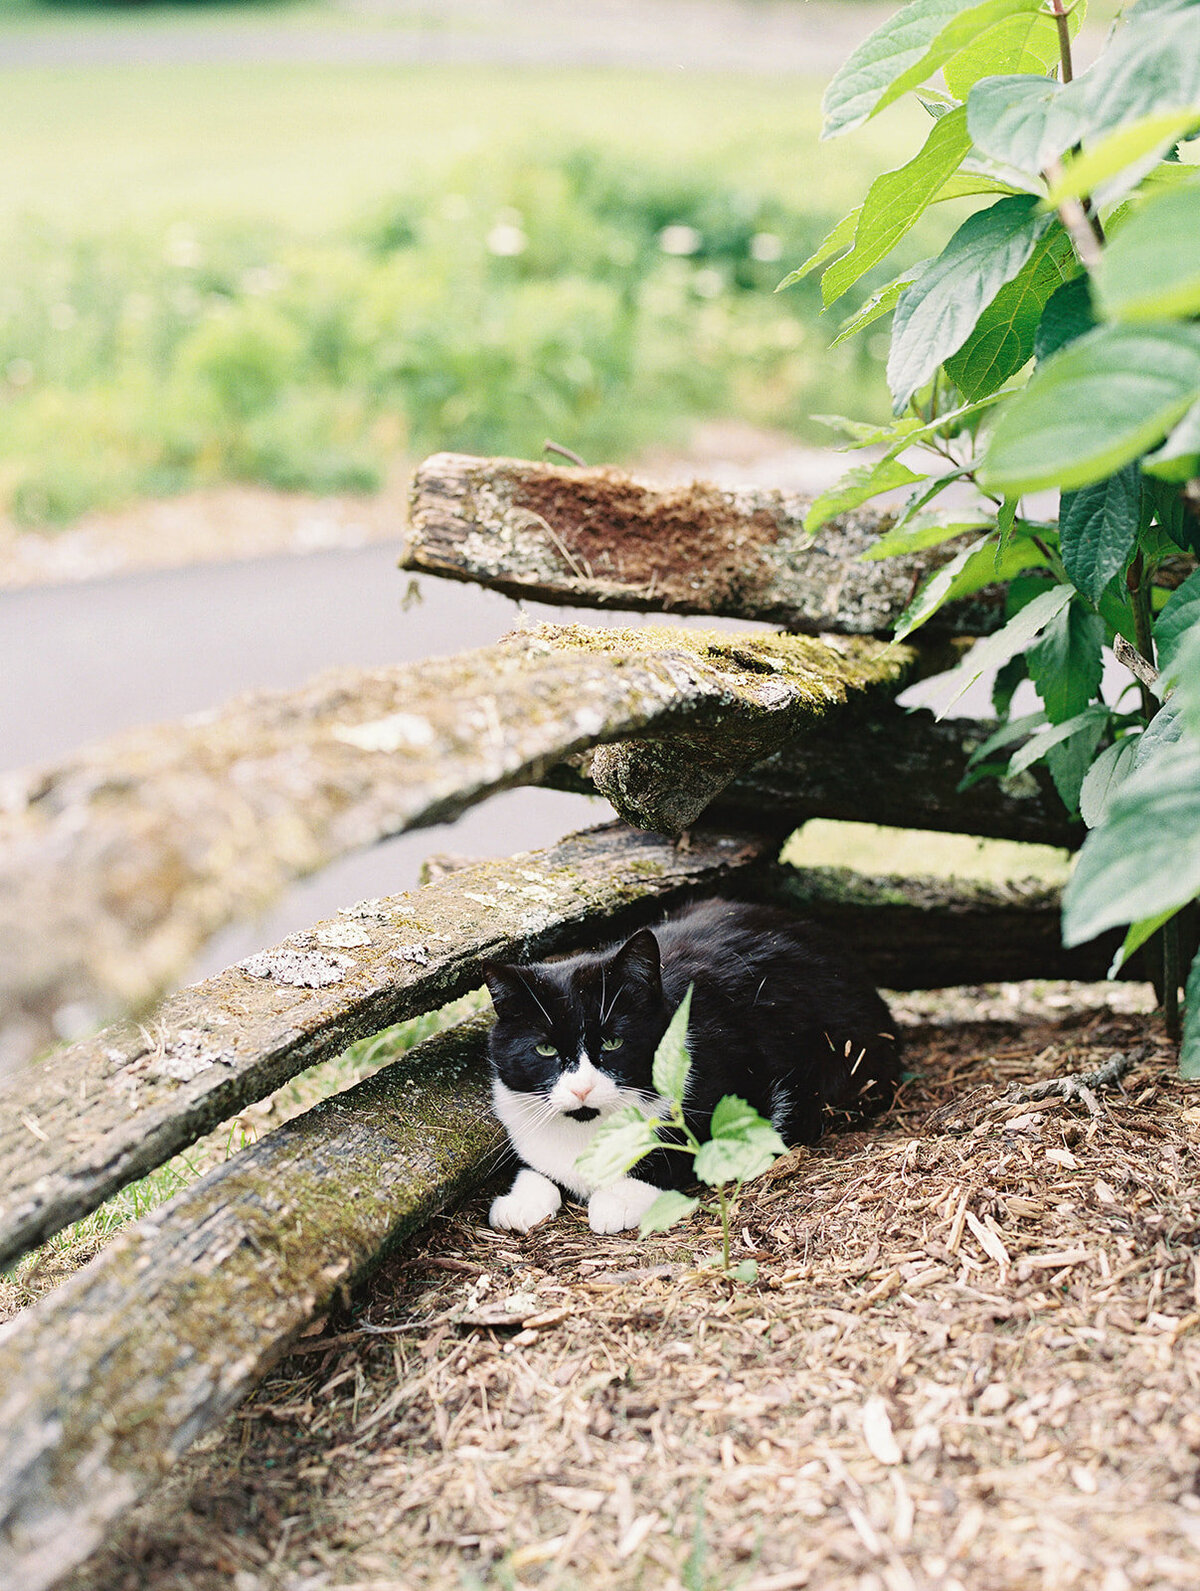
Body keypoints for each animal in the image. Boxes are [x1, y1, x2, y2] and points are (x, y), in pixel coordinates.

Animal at [480, 903, 891, 1234]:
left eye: (613, 1042)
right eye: (545, 1049)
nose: (582, 1089)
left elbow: (680, 1148)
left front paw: (619, 1198)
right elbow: (535, 1165)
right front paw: (522, 1202)